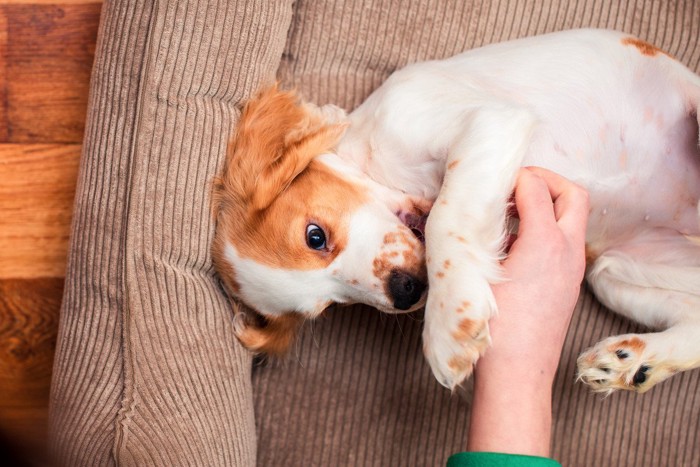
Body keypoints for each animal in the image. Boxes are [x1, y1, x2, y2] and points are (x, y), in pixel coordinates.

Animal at [213, 29, 700, 394]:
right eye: (327, 307)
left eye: (315, 236)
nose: (406, 292)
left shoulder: (486, 119)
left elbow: (447, 219)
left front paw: (448, 325)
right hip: (614, 274)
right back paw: (631, 363)